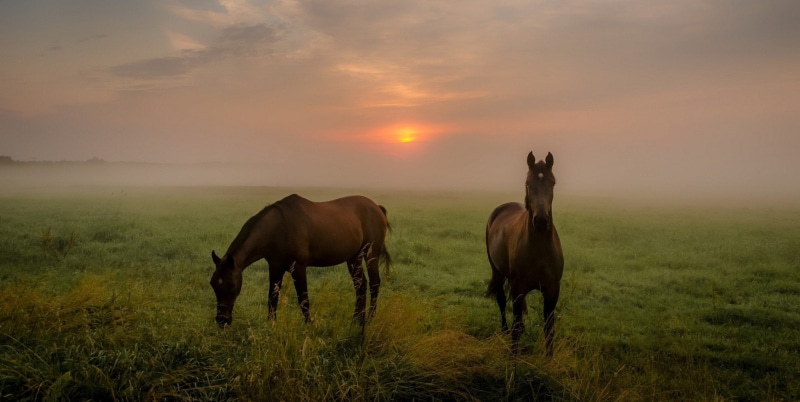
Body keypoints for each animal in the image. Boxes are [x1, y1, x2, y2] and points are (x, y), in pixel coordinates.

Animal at [210, 194, 391, 332]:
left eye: (232, 285)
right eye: (213, 284)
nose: (222, 320)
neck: (279, 228)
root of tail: (377, 207)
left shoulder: (298, 268)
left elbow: (303, 299)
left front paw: (310, 325)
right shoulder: (275, 267)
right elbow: (272, 298)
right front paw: (271, 325)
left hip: (371, 256)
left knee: (374, 283)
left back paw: (369, 319)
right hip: (354, 258)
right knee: (360, 285)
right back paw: (356, 320)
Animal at [485, 152, 564, 356]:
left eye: (553, 182)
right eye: (528, 183)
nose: (541, 220)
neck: (539, 248)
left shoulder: (552, 289)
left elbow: (549, 329)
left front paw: (549, 359)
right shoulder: (518, 288)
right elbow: (516, 327)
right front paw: (513, 360)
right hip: (498, 273)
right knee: (502, 302)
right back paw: (504, 331)